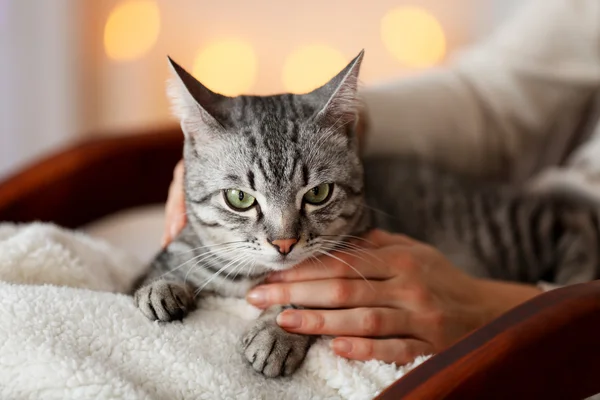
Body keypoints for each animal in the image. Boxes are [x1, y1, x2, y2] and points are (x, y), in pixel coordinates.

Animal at [132, 50, 600, 378]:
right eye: (240, 199)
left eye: (318, 193)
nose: (284, 243)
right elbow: (167, 264)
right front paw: (162, 286)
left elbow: (304, 294)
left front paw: (278, 331)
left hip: (509, 226)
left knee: (573, 222)